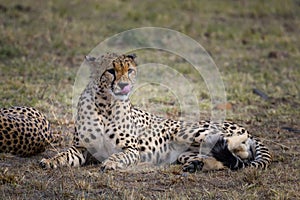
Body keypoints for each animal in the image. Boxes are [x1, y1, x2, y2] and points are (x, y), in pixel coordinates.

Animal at [39, 52, 272, 172]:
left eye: (130, 70)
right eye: (111, 71)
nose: (124, 85)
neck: (105, 105)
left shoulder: (132, 149)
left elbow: (120, 155)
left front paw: (111, 162)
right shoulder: (81, 149)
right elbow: (64, 154)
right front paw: (50, 161)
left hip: (185, 131)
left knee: (237, 149)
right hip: (185, 154)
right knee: (226, 162)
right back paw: (198, 164)